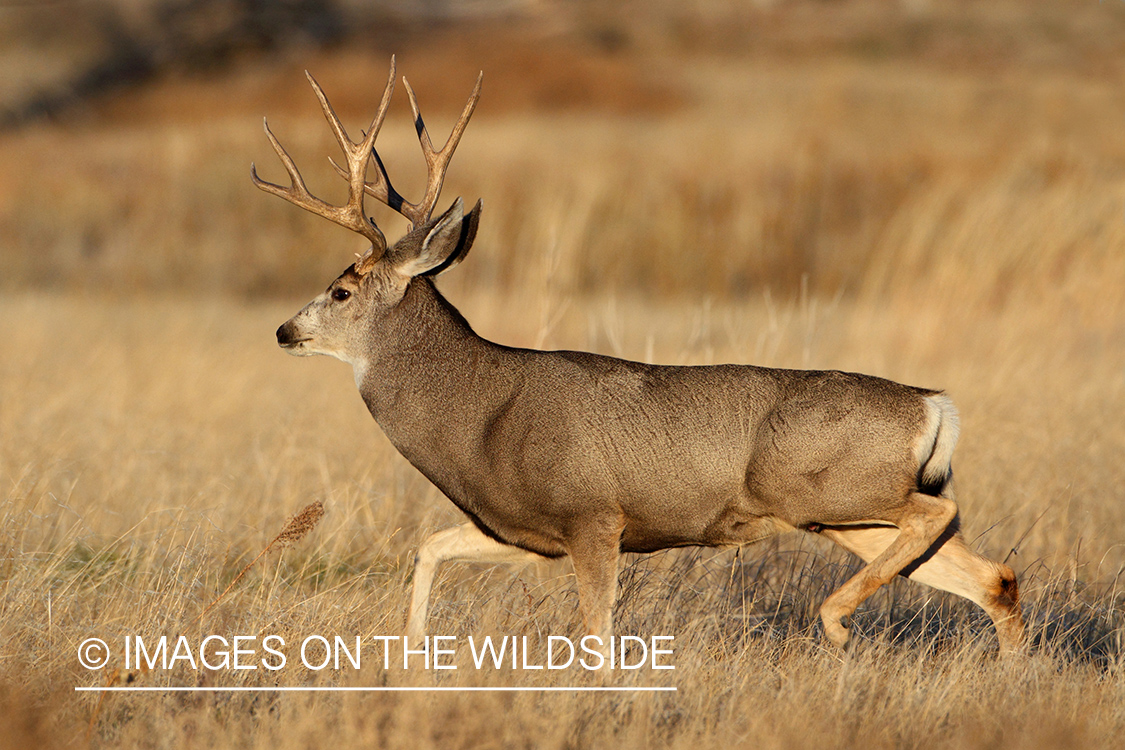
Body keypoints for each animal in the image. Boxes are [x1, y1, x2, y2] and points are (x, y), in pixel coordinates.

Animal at [255, 58, 1030, 652]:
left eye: (342, 289)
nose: (284, 331)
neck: (482, 415)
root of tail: (933, 403)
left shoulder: (593, 515)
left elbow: (597, 635)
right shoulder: (528, 531)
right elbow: (430, 546)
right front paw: (411, 654)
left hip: (828, 489)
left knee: (941, 518)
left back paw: (837, 621)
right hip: (849, 518)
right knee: (994, 577)